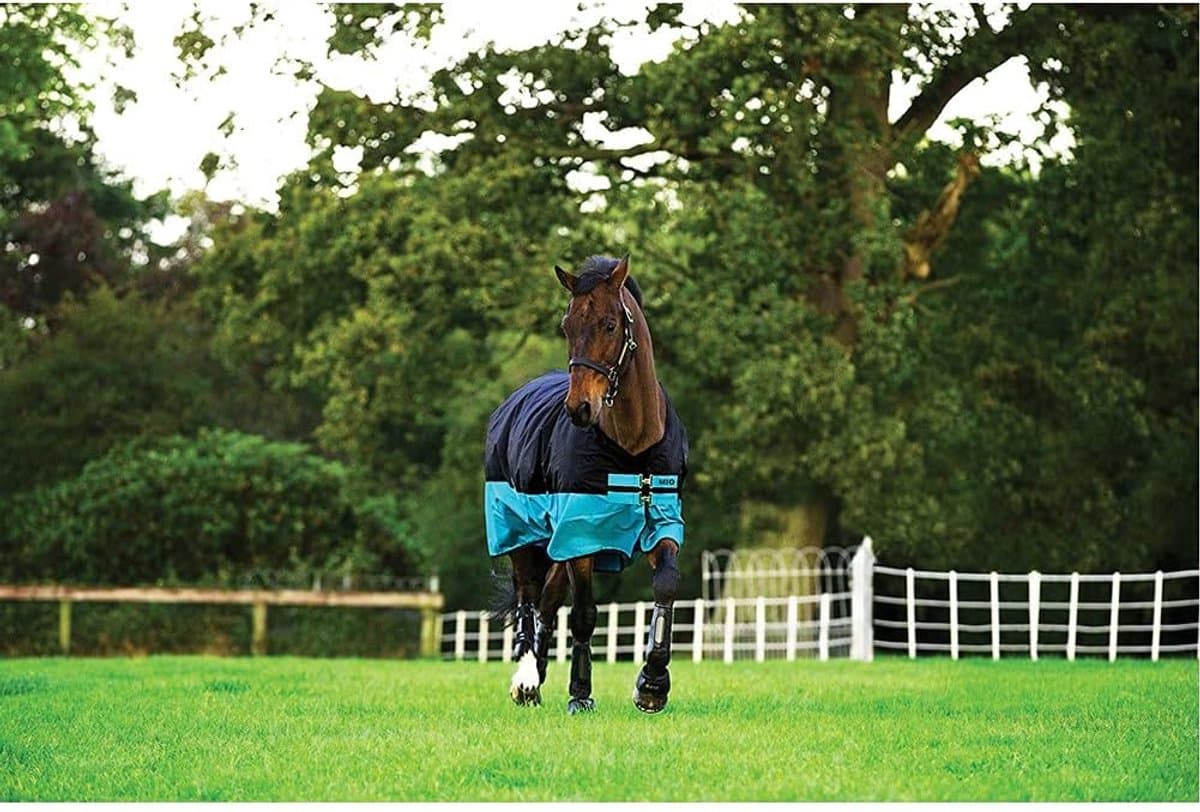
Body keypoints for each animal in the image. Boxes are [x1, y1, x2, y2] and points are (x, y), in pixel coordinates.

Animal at [484, 254, 688, 714]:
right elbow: (584, 614)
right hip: (522, 534)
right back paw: (526, 679)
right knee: (528, 596)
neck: (633, 445)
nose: (579, 408)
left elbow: (666, 587)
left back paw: (538, 675)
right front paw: (580, 693)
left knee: (546, 601)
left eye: (610, 325)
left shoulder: (663, 522)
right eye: (567, 325)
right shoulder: (582, 535)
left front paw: (652, 684)